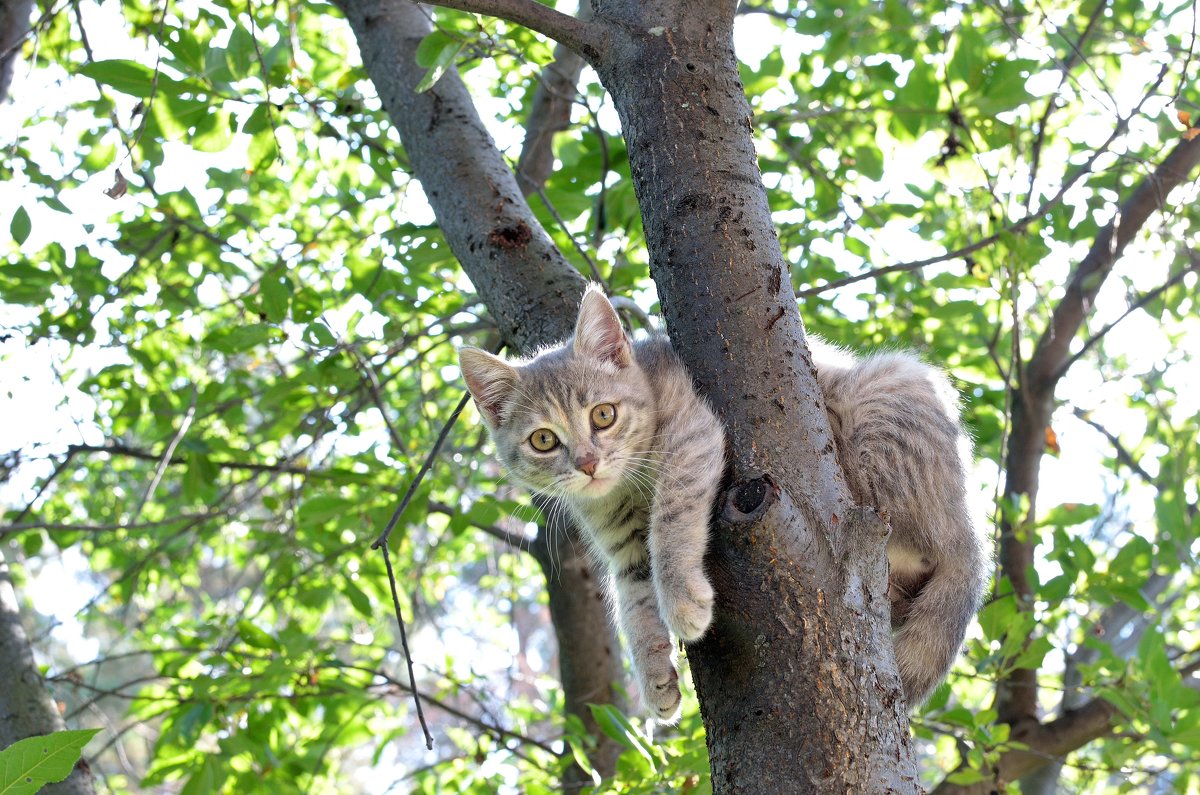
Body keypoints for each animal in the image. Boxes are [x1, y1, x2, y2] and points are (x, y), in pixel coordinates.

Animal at [453, 288, 988, 720]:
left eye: (603, 415)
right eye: (543, 440)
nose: (586, 462)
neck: (625, 488)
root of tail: (969, 525)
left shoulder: (693, 434)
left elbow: (670, 521)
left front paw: (682, 600)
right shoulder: (622, 545)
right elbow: (632, 598)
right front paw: (652, 673)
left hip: (889, 392)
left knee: (919, 539)